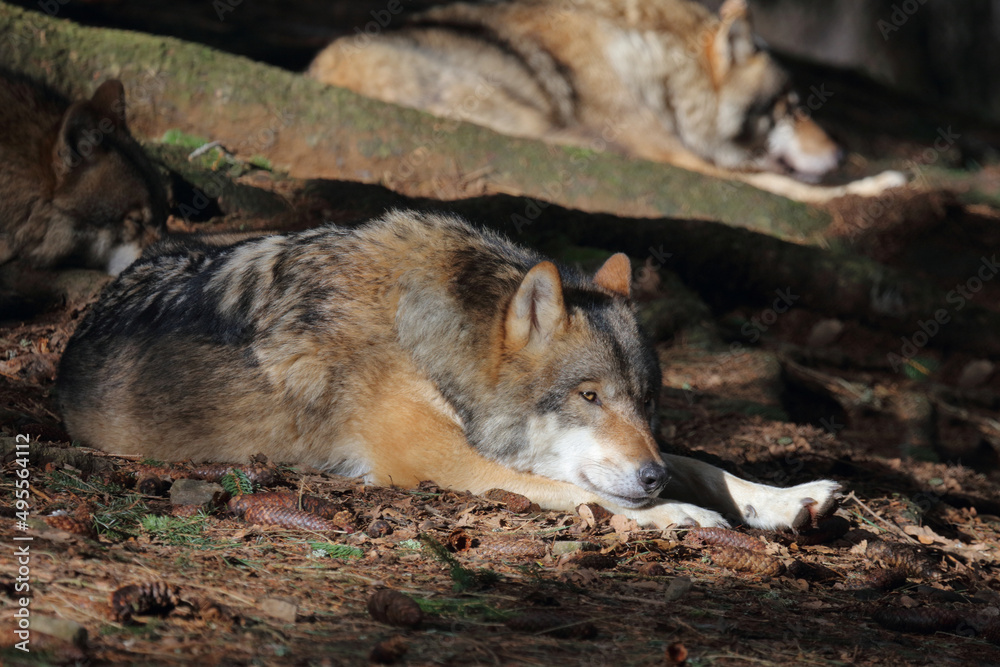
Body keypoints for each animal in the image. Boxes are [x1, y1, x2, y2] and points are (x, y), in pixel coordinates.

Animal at [57, 211, 839, 529]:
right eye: (588, 395)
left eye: (646, 401)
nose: (649, 477)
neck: (426, 338)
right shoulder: (447, 465)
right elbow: (587, 496)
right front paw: (679, 514)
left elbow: (702, 462)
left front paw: (783, 498)